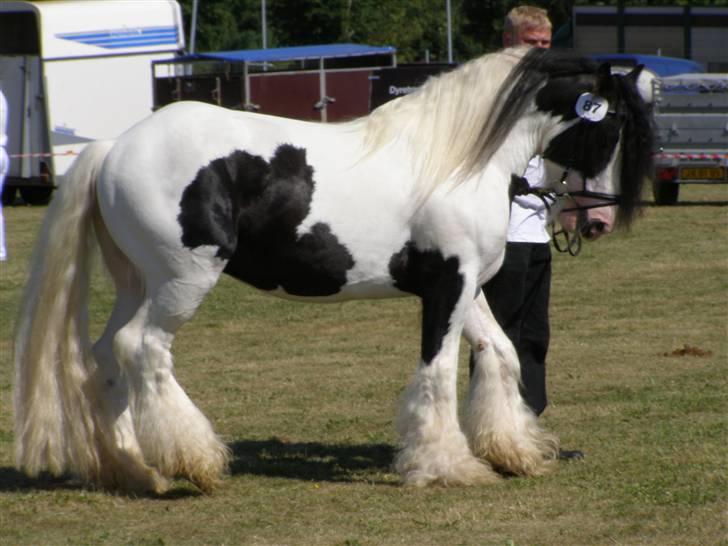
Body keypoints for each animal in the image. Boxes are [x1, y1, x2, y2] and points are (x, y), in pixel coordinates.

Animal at [12, 45, 656, 488]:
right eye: (613, 123)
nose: (597, 218)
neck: (458, 160)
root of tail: (114, 148)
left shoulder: (468, 286)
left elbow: (500, 354)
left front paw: (513, 451)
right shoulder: (445, 288)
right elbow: (440, 372)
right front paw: (445, 466)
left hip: (136, 281)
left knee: (105, 355)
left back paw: (133, 468)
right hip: (182, 281)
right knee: (141, 349)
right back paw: (194, 463)